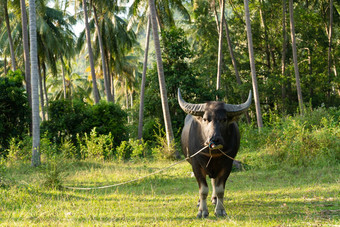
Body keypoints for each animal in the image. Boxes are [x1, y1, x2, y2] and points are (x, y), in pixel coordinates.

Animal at [177, 89, 251, 218]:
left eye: (224, 119)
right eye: (205, 119)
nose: (215, 139)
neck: (213, 154)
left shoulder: (227, 165)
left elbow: (220, 188)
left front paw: (220, 210)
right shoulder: (196, 165)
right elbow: (203, 189)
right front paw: (202, 211)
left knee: (213, 182)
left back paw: (215, 199)